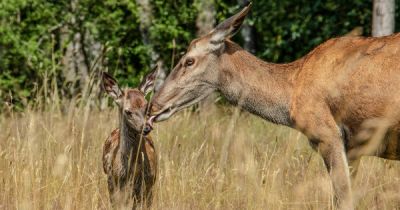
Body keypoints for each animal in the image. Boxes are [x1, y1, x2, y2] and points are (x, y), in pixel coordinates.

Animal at [101, 68, 158, 208]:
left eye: (147, 106)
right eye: (128, 111)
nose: (147, 127)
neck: (133, 171)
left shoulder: (148, 184)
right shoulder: (114, 184)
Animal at [148, 2, 400, 210]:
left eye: (188, 61)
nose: (154, 106)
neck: (291, 93)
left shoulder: (328, 134)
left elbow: (343, 199)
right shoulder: (354, 149)